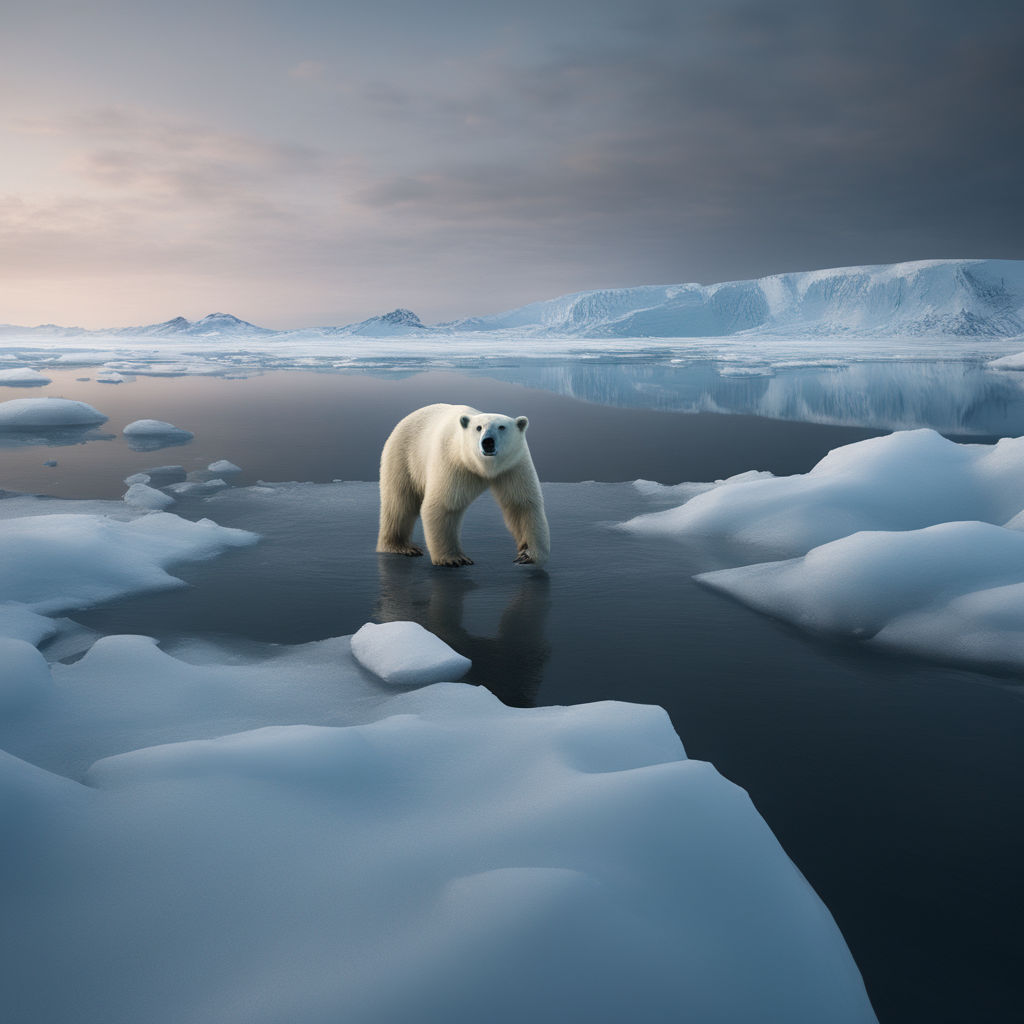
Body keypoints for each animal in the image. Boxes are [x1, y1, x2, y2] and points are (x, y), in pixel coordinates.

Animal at [378, 403, 552, 569]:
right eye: (478, 427)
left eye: (502, 427)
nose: (488, 442)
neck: (483, 467)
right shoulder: (453, 461)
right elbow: (444, 505)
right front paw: (454, 559)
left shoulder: (513, 465)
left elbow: (521, 505)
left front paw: (528, 554)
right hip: (404, 456)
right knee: (400, 502)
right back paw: (402, 546)